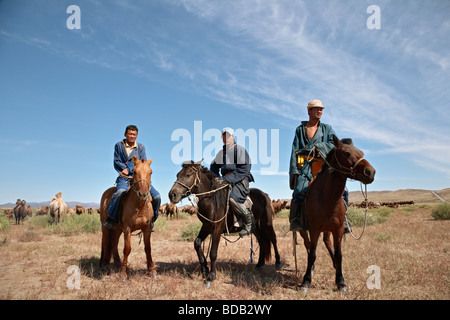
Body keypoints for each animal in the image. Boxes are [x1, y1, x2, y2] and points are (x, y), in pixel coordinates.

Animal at [169, 160, 282, 288]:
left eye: (188, 175)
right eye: (178, 175)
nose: (172, 194)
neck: (211, 200)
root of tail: (265, 195)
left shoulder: (217, 228)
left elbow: (213, 252)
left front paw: (211, 276)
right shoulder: (207, 226)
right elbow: (197, 243)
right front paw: (205, 269)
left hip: (266, 223)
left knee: (273, 239)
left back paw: (278, 262)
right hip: (255, 227)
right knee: (262, 241)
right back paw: (259, 264)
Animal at [298, 136, 374, 292]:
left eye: (361, 152)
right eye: (346, 153)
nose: (370, 172)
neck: (327, 197)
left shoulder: (338, 229)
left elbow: (339, 255)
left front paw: (341, 282)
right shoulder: (314, 229)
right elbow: (312, 254)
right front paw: (306, 281)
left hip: (328, 229)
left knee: (327, 242)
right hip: (303, 229)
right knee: (307, 244)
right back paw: (312, 268)